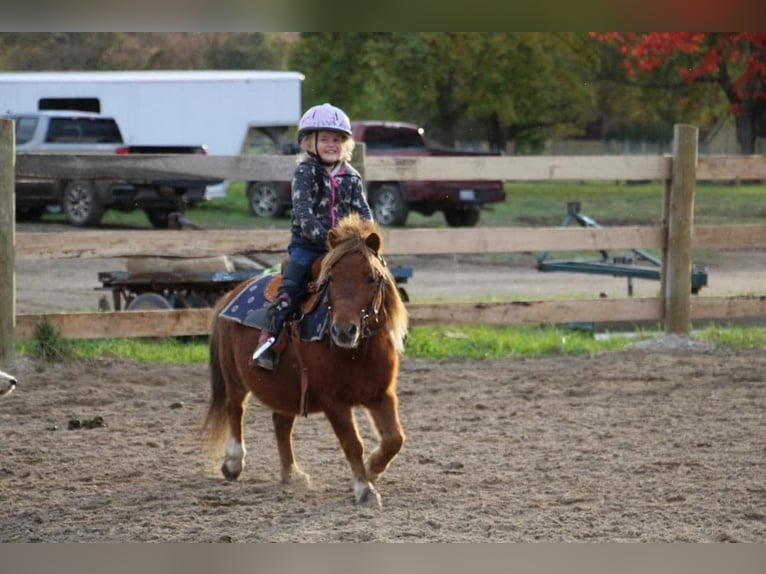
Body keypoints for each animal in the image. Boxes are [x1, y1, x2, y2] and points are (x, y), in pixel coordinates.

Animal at [202, 215, 408, 508]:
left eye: (371, 277)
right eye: (331, 278)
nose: (343, 331)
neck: (358, 351)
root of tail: (232, 294)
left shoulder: (382, 394)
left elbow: (394, 439)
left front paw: (371, 470)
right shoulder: (334, 402)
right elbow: (353, 443)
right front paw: (364, 488)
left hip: (285, 387)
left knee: (281, 423)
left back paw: (292, 473)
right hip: (234, 376)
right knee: (235, 408)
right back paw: (233, 463)